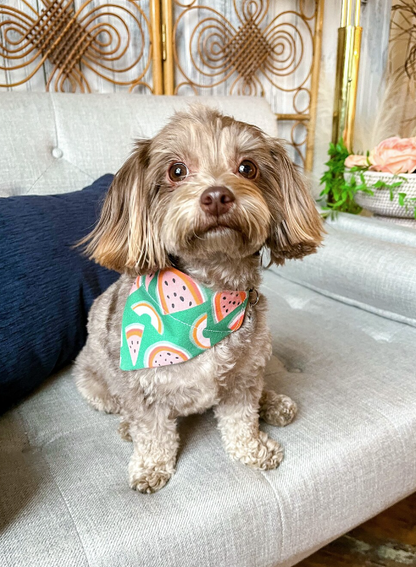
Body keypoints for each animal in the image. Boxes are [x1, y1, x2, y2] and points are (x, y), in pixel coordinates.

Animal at [75, 105, 324, 492]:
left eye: (247, 168)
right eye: (176, 171)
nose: (217, 196)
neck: (210, 298)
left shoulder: (242, 379)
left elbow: (241, 420)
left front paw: (253, 449)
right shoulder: (142, 390)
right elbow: (152, 431)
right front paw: (150, 466)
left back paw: (272, 403)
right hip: (94, 382)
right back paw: (126, 427)